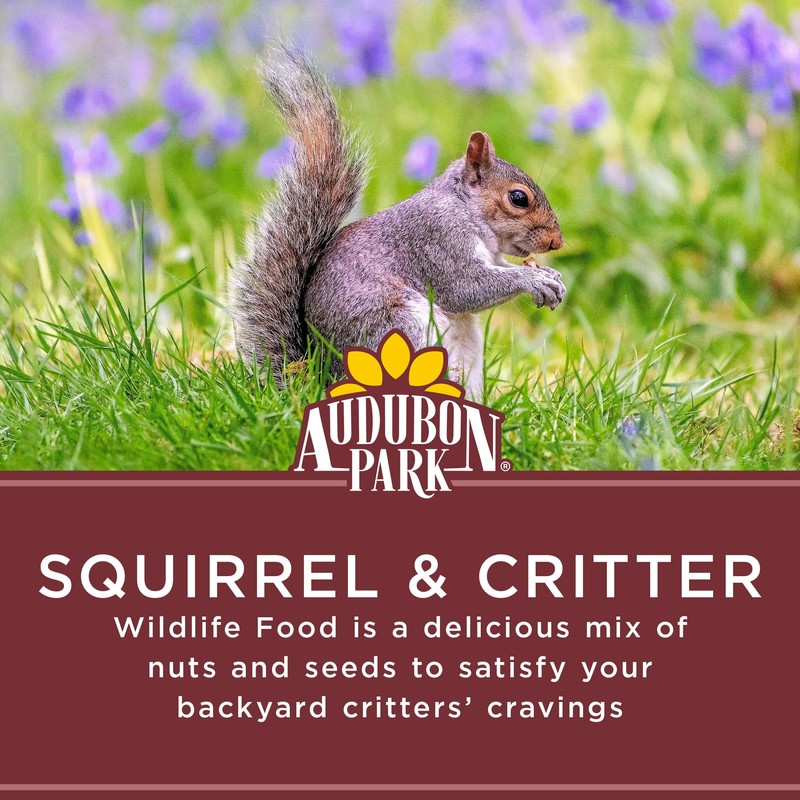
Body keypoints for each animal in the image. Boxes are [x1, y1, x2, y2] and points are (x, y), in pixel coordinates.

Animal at [231, 43, 566, 399]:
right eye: (518, 198)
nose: (556, 242)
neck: (463, 208)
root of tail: (321, 378)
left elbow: (497, 271)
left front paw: (549, 275)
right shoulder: (436, 240)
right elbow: (465, 287)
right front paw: (534, 280)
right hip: (401, 325)